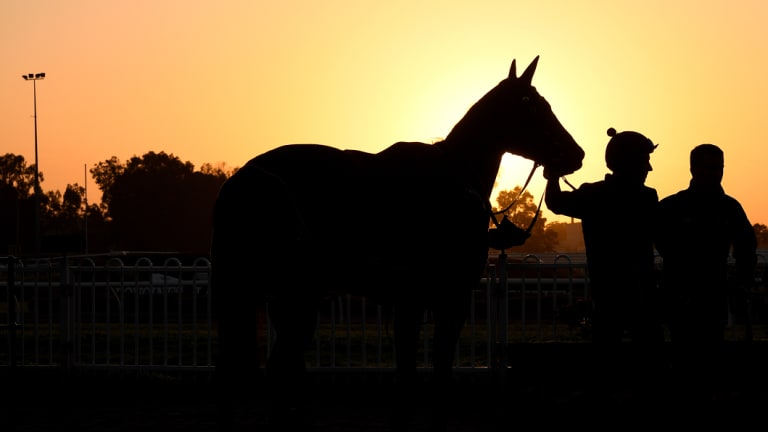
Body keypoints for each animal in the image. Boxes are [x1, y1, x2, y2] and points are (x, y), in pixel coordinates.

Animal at [210, 55, 584, 426]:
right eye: (533, 105)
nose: (576, 154)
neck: (455, 181)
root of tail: (242, 179)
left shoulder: (413, 301)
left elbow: (410, 370)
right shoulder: (447, 297)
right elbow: (433, 370)